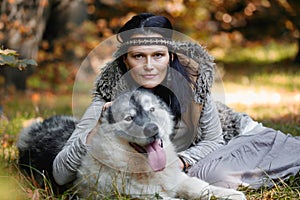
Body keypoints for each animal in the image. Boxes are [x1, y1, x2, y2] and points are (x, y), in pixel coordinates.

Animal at [17, 90, 246, 199]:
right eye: (129, 118)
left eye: (152, 110)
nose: (153, 130)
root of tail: (35, 128)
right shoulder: (142, 197)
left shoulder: (179, 180)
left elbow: (200, 186)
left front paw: (229, 194)